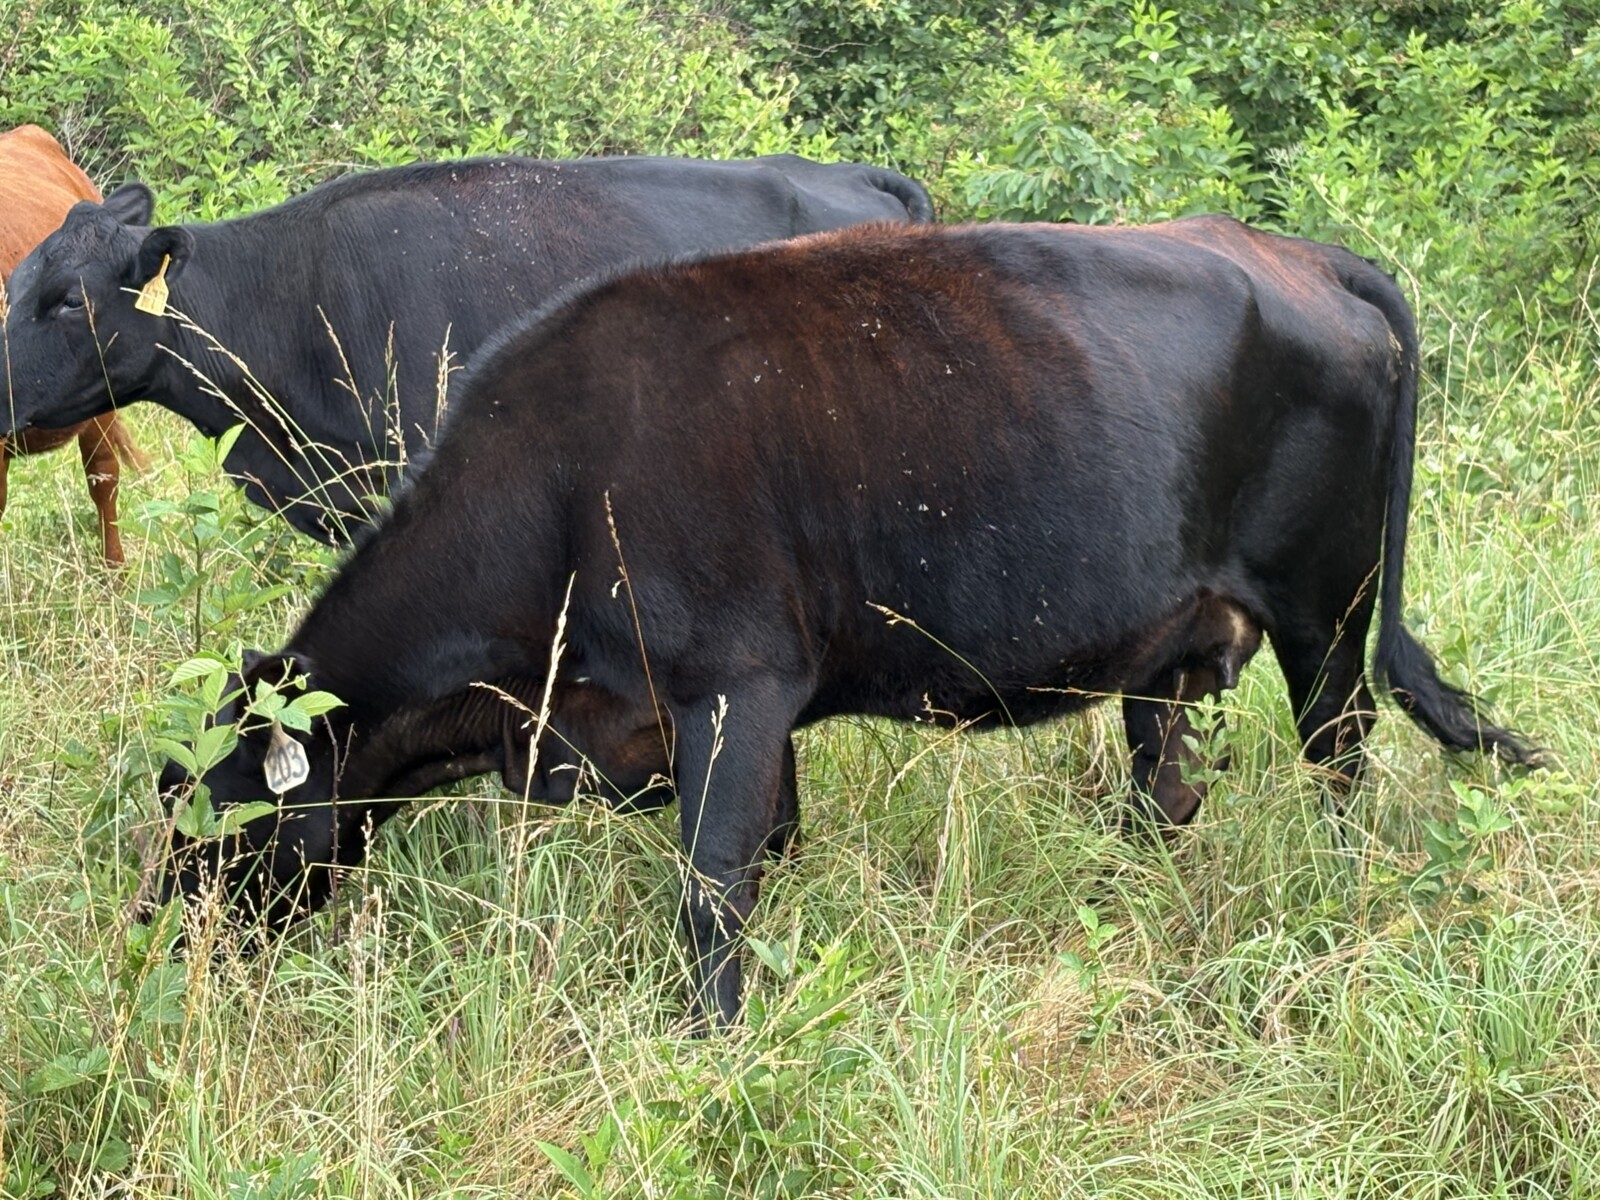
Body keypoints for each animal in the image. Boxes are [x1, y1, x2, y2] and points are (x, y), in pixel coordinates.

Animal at [153, 217, 1539, 1030]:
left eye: (217, 816)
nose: (163, 942)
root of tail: (1293, 250)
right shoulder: (750, 713)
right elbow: (772, 852)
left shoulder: (735, 687)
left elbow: (711, 891)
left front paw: (705, 1046)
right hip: (1176, 642)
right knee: (1167, 784)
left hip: (1327, 613)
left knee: (1339, 763)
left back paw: (1333, 904)